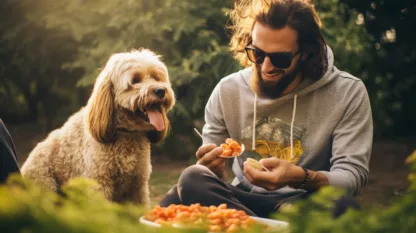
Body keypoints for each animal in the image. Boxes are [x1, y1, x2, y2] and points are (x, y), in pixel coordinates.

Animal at [20, 49, 176, 206]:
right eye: (135, 80)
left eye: (156, 78)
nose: (161, 90)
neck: (125, 133)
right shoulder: (100, 183)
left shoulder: (137, 185)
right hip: (46, 186)